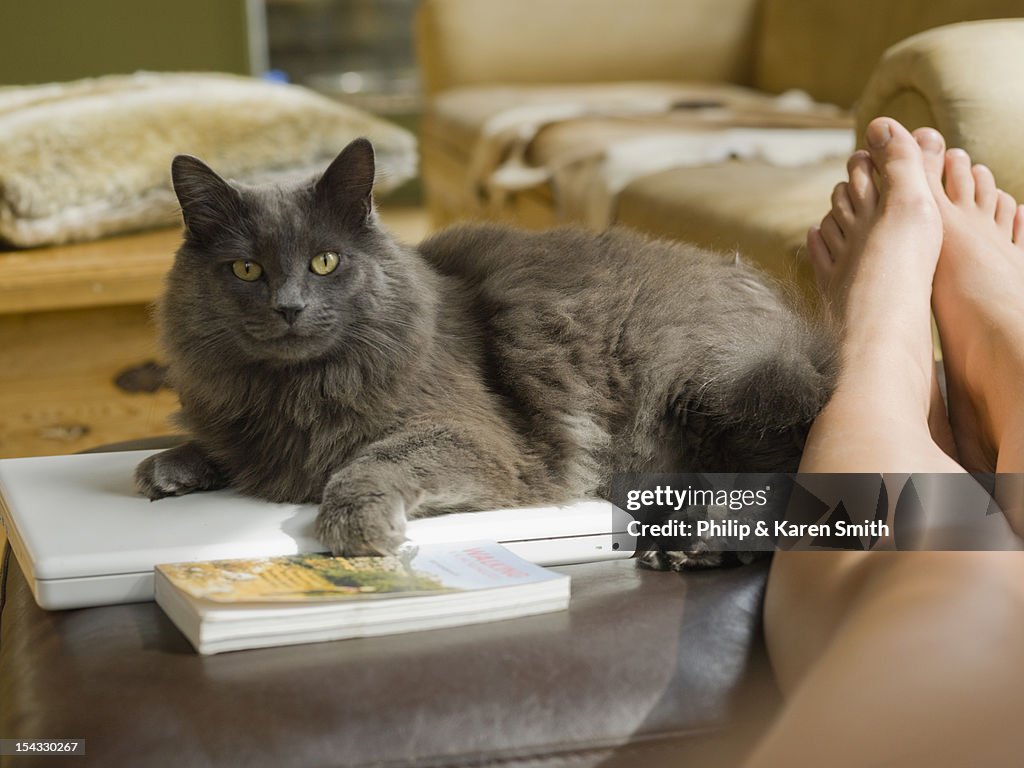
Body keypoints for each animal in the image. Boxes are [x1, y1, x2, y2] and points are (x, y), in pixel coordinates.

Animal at [136, 137, 835, 565]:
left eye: (325, 262)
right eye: (247, 269)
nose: (289, 307)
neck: (296, 388)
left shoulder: (477, 441)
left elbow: (367, 463)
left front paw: (358, 527)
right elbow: (219, 448)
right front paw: (170, 466)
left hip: (726, 386)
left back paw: (694, 548)